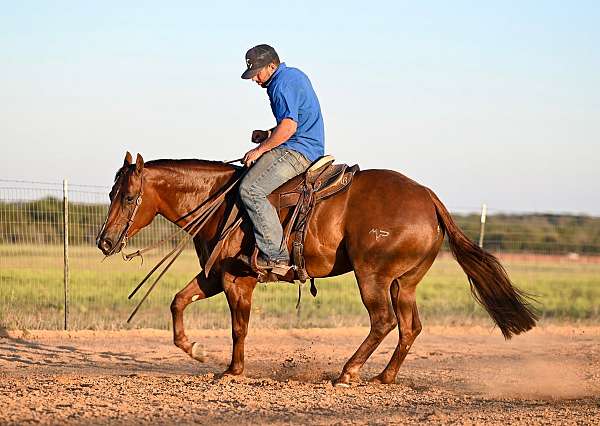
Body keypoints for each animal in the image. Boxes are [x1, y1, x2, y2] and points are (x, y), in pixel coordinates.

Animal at [96, 151, 536, 384]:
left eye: (129, 196)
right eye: (111, 191)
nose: (105, 241)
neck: (223, 203)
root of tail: (428, 197)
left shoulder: (237, 280)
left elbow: (239, 327)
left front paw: (233, 371)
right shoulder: (214, 277)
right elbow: (177, 301)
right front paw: (195, 350)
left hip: (372, 276)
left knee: (383, 322)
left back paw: (348, 372)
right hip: (403, 282)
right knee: (410, 327)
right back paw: (384, 377)